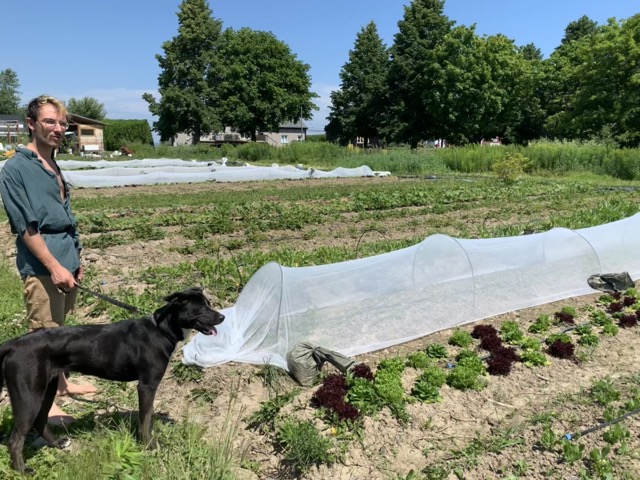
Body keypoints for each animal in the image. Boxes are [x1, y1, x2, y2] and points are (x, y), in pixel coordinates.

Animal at [0, 286, 225, 474]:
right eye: (201, 308)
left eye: (208, 303)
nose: (222, 316)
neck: (161, 329)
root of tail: (15, 343)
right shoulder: (147, 386)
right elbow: (146, 419)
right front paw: (149, 446)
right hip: (28, 395)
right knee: (16, 439)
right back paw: (22, 470)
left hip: (48, 388)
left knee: (40, 421)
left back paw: (57, 444)